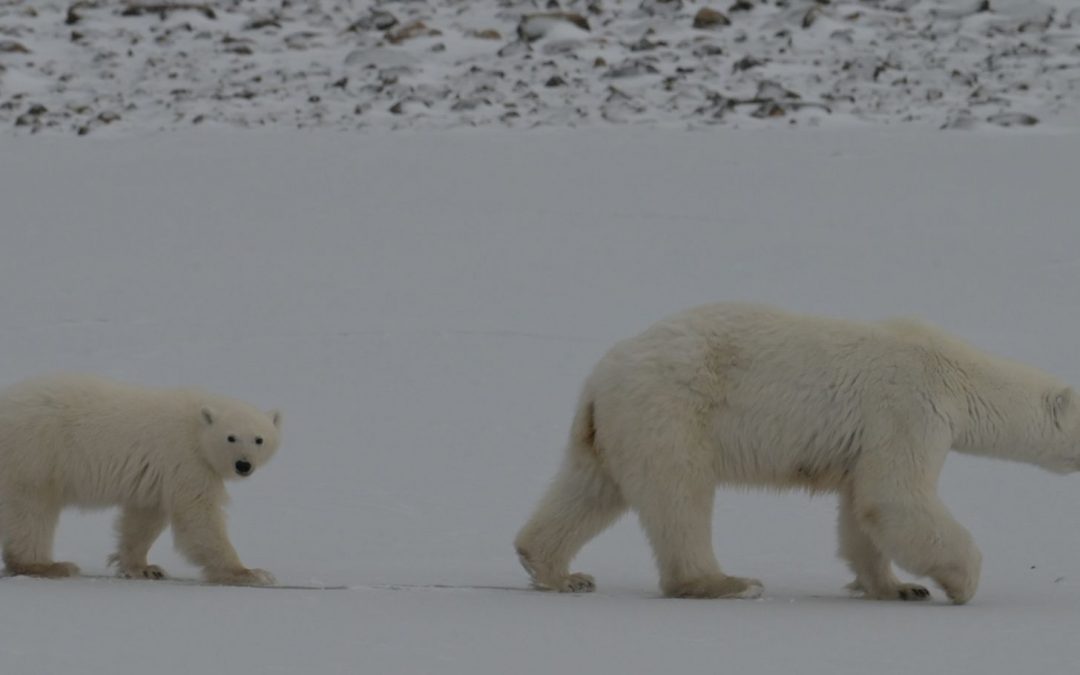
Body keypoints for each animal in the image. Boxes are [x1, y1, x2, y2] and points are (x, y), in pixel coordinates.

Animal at [0, 373, 282, 586]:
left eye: (259, 439)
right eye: (231, 437)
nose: (243, 465)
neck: (195, 426)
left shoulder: (156, 476)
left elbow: (144, 518)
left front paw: (144, 568)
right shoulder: (186, 459)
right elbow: (199, 516)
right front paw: (250, 573)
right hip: (35, 455)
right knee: (32, 512)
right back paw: (48, 565)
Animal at [514, 302, 1080, 604]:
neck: (956, 377)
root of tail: (600, 376)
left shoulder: (868, 438)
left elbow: (861, 510)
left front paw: (896, 587)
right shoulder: (908, 410)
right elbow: (895, 497)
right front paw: (961, 583)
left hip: (615, 426)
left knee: (590, 489)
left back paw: (559, 571)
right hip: (672, 411)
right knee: (680, 497)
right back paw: (727, 582)